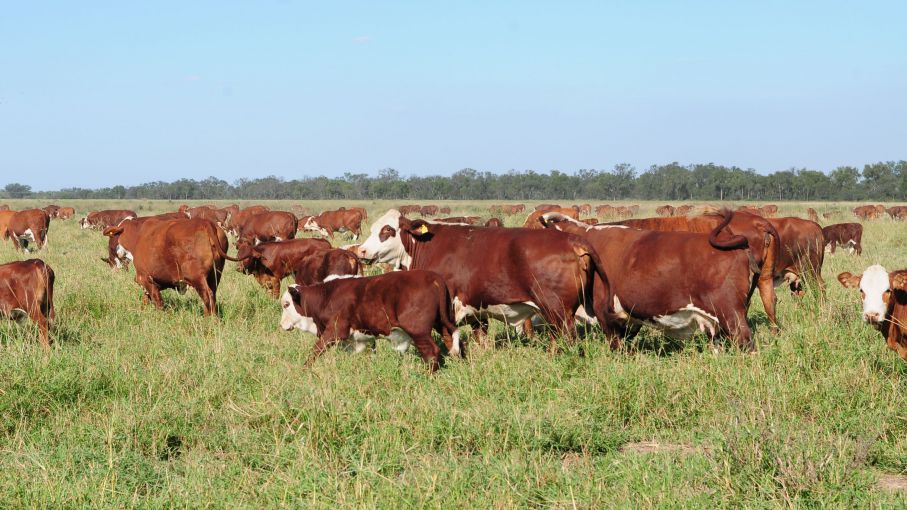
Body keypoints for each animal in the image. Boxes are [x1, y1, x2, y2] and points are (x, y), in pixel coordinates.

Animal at [103, 218, 237, 316]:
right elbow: (146, 299)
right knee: (212, 295)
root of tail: (205, 223)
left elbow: (158, 302)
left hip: (197, 278)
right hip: (215, 275)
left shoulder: (145, 278)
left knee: (207, 295)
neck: (137, 235)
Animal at [280, 270, 461, 372]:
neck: (327, 296)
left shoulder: (334, 331)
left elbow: (315, 352)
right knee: (452, 342)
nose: (281, 325)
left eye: (286, 304)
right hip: (442, 323)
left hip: (419, 331)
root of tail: (435, 278)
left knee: (431, 353)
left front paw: (303, 371)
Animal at [355, 210, 612, 354]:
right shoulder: (476, 310)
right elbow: (480, 338)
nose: (362, 251)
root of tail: (573, 240)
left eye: (387, 230)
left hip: (557, 310)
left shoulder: (448, 308)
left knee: (565, 338)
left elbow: (450, 340)